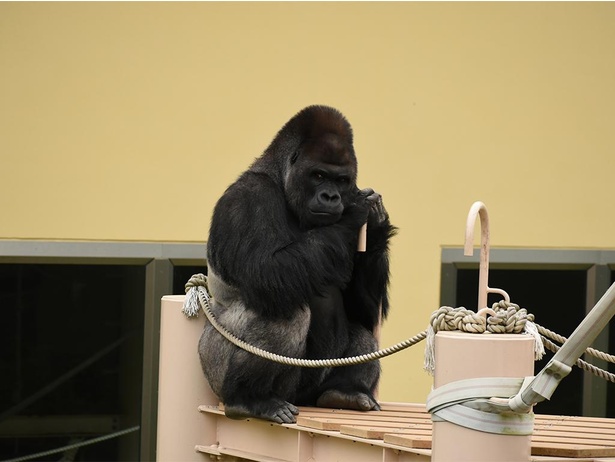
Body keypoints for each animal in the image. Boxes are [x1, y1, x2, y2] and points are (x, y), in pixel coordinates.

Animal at [200, 106, 398, 424]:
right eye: (318, 175)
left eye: (341, 180)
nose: (331, 197)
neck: (280, 181)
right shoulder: (248, 199)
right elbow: (266, 275)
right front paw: (356, 211)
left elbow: (365, 313)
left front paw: (377, 223)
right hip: (221, 378)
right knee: (286, 311)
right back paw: (249, 399)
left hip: (310, 393)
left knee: (360, 333)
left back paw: (346, 392)